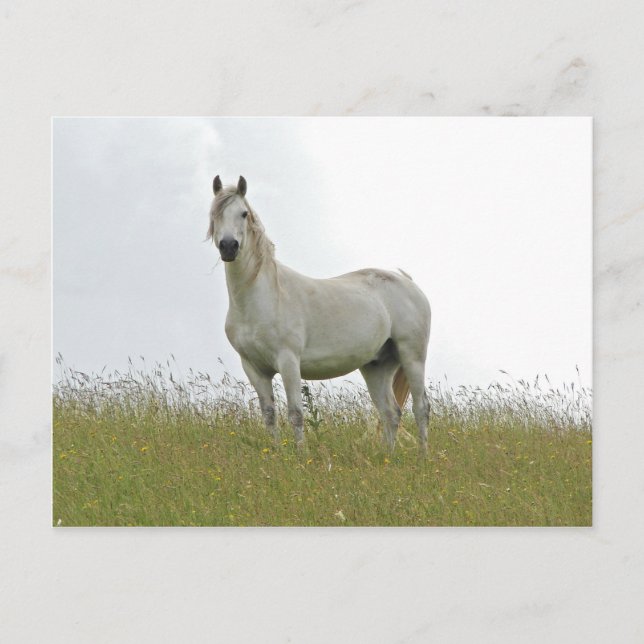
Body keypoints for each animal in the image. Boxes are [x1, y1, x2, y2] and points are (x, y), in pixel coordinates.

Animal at [207, 175, 431, 451]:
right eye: (215, 214)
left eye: (243, 213)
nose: (229, 247)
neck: (261, 298)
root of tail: (408, 282)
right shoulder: (254, 368)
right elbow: (269, 415)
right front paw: (276, 454)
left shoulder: (288, 361)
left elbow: (295, 413)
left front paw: (300, 454)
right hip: (377, 366)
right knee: (391, 413)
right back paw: (387, 456)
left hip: (413, 356)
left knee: (421, 408)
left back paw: (423, 455)